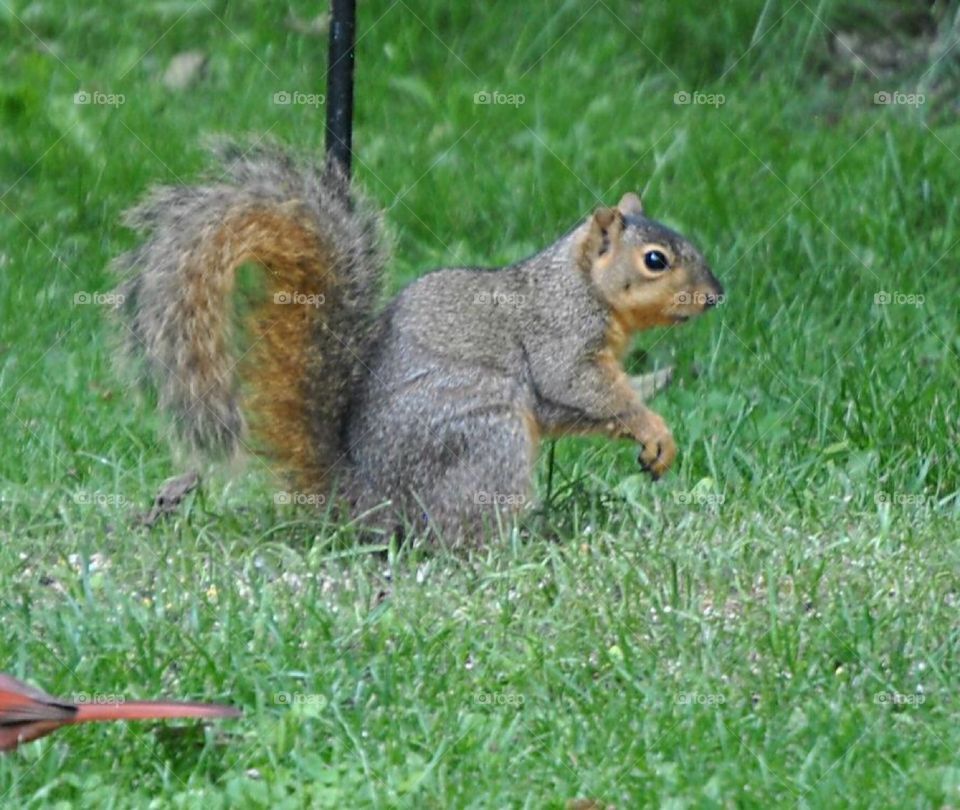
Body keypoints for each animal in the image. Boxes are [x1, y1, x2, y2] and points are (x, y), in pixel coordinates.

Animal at [111, 143, 723, 545]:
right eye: (655, 260)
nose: (716, 295)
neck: (579, 284)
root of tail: (365, 501)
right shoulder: (561, 338)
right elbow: (580, 386)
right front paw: (652, 427)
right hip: (488, 439)